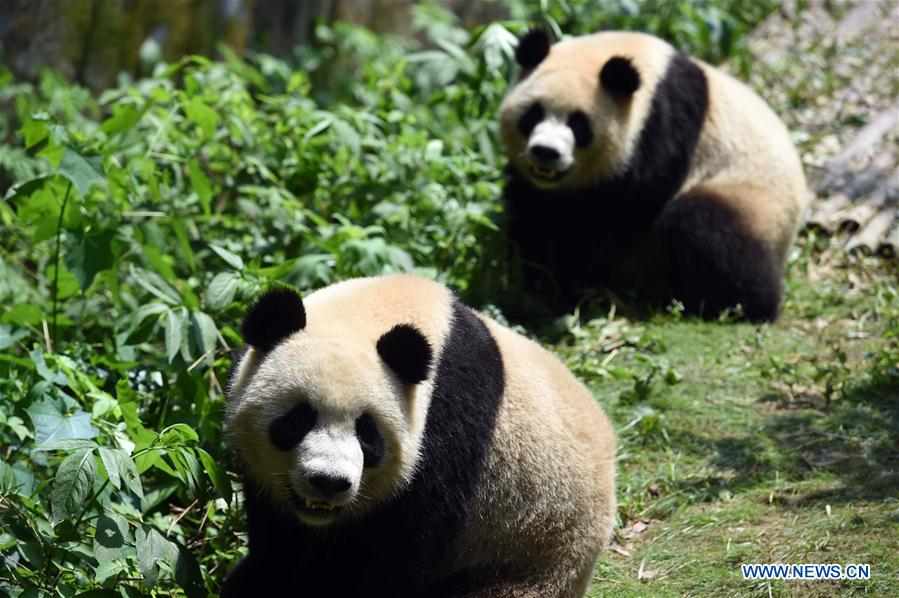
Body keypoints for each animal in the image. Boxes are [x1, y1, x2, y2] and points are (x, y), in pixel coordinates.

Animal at [222, 274, 617, 597]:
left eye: (367, 432)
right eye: (299, 419)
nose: (328, 482)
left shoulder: (446, 428)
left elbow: (397, 559)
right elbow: (278, 542)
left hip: (527, 557)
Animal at [499, 29, 810, 322]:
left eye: (579, 125)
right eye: (533, 115)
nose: (546, 152)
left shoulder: (662, 126)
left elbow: (619, 212)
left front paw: (572, 281)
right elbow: (535, 211)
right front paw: (536, 280)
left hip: (750, 200)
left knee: (708, 229)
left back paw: (743, 306)